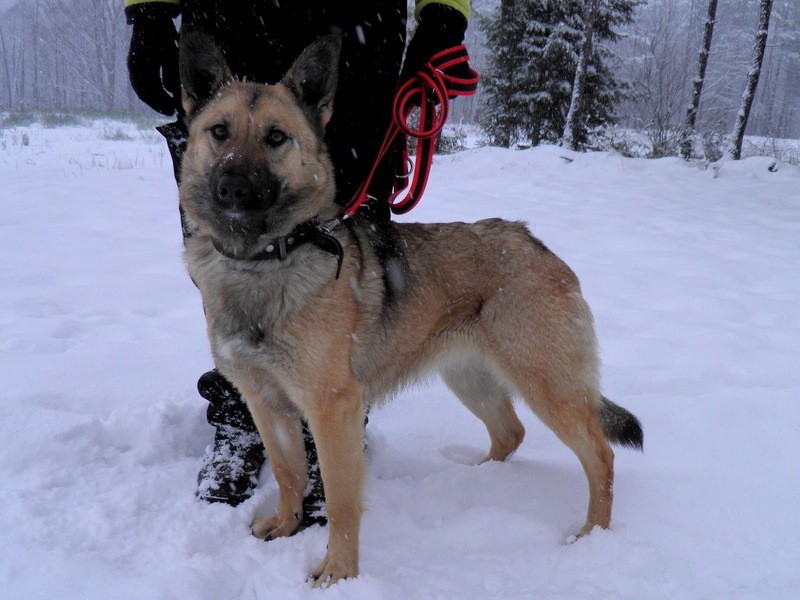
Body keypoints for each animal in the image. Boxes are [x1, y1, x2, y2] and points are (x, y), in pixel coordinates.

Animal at [177, 30, 644, 588]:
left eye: (275, 137)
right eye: (219, 132)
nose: (233, 188)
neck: (264, 260)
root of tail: (536, 243)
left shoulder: (333, 408)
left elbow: (340, 500)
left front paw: (339, 572)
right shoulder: (264, 402)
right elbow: (289, 474)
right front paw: (286, 527)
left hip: (547, 385)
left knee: (601, 456)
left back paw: (592, 535)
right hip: (469, 378)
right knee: (511, 432)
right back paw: (478, 478)